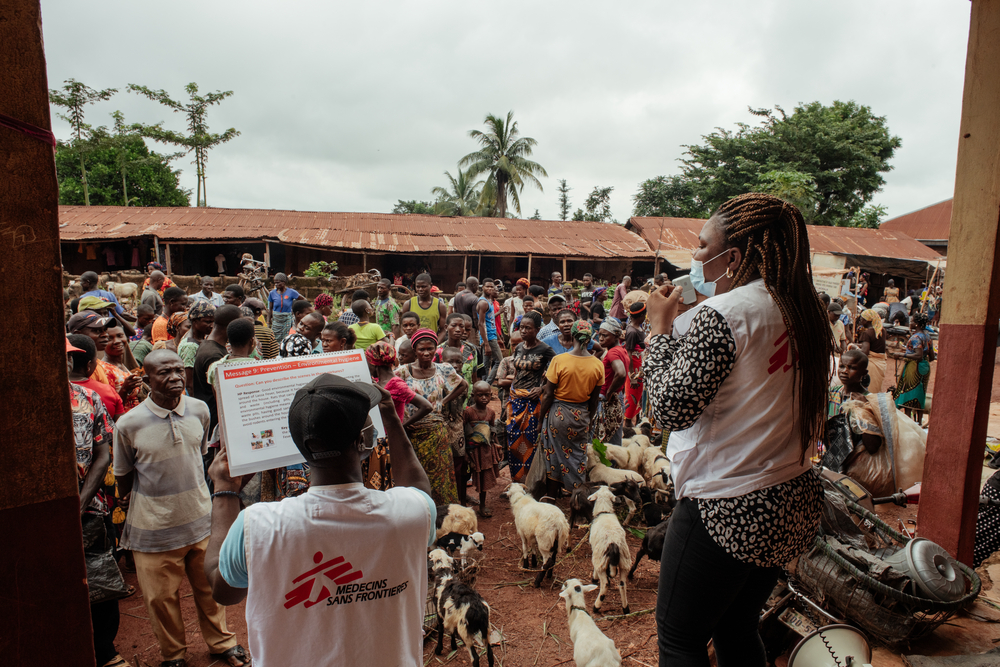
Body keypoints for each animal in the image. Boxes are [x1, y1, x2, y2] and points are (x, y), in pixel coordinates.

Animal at [584, 486, 632, 616]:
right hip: (625, 562)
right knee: (622, 585)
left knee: (604, 585)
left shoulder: (595, 552)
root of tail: (613, 543)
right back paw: (625, 609)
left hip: (600, 559)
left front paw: (594, 578)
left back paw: (596, 607)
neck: (604, 512)